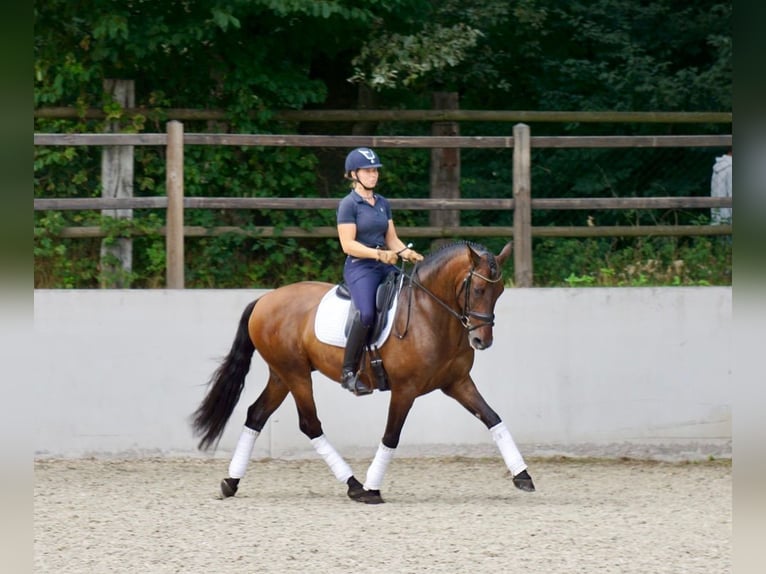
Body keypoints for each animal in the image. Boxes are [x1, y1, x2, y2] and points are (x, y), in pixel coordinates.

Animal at [191, 240, 535, 504]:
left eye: (499, 291)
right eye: (477, 289)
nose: (482, 340)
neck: (430, 314)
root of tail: (265, 298)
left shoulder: (457, 383)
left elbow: (492, 418)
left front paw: (523, 476)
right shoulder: (405, 389)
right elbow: (391, 435)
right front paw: (372, 488)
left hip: (281, 375)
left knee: (256, 414)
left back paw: (231, 482)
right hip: (296, 374)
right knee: (309, 424)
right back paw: (354, 485)